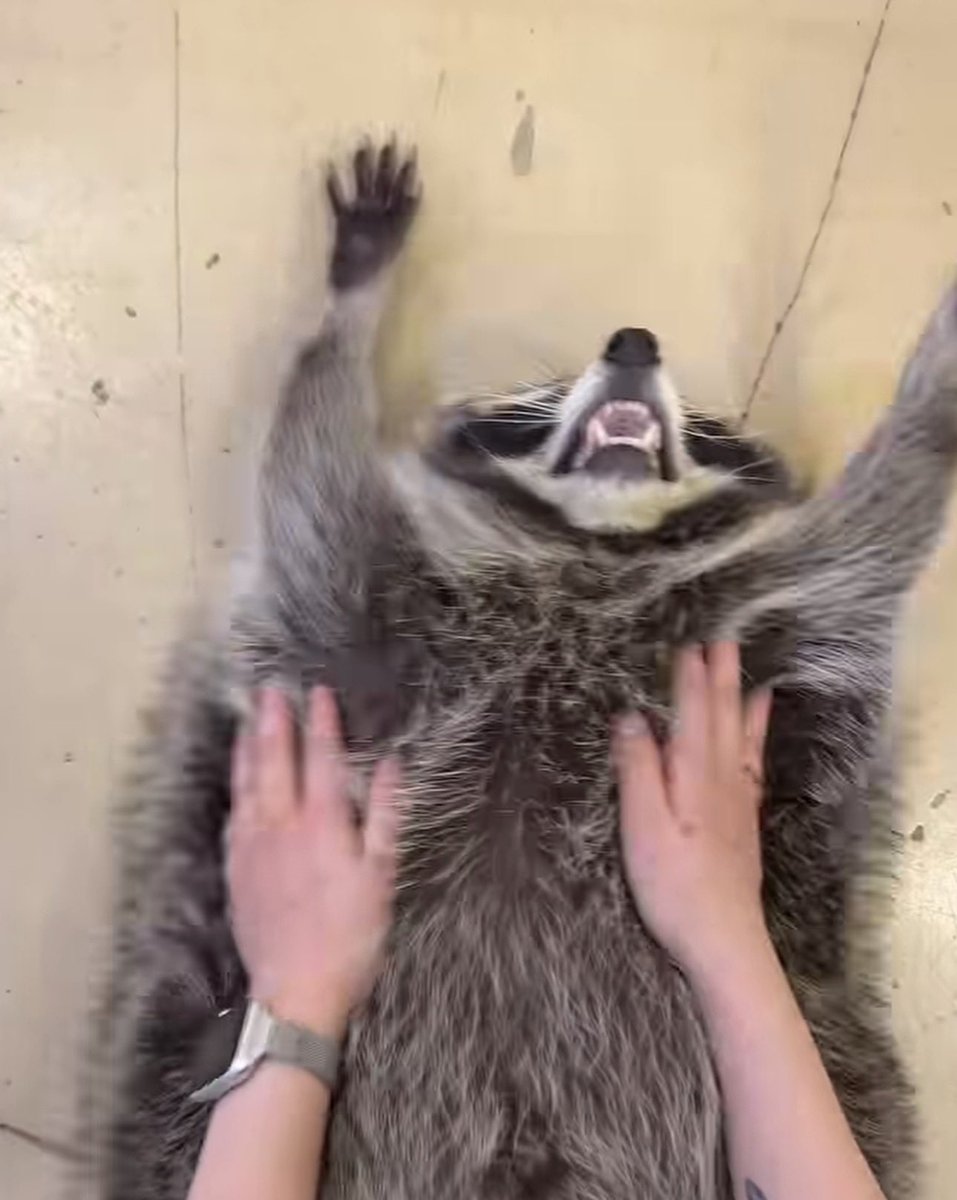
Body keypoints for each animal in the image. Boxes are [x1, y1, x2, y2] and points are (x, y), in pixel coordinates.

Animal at [85, 140, 957, 1200]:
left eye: (708, 428)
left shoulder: (782, 605)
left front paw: (931, 399)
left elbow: (886, 516)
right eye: (534, 406)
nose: (633, 342)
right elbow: (309, 482)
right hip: (184, 1053)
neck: (590, 552)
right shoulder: (373, 615)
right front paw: (348, 311)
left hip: (835, 1053)